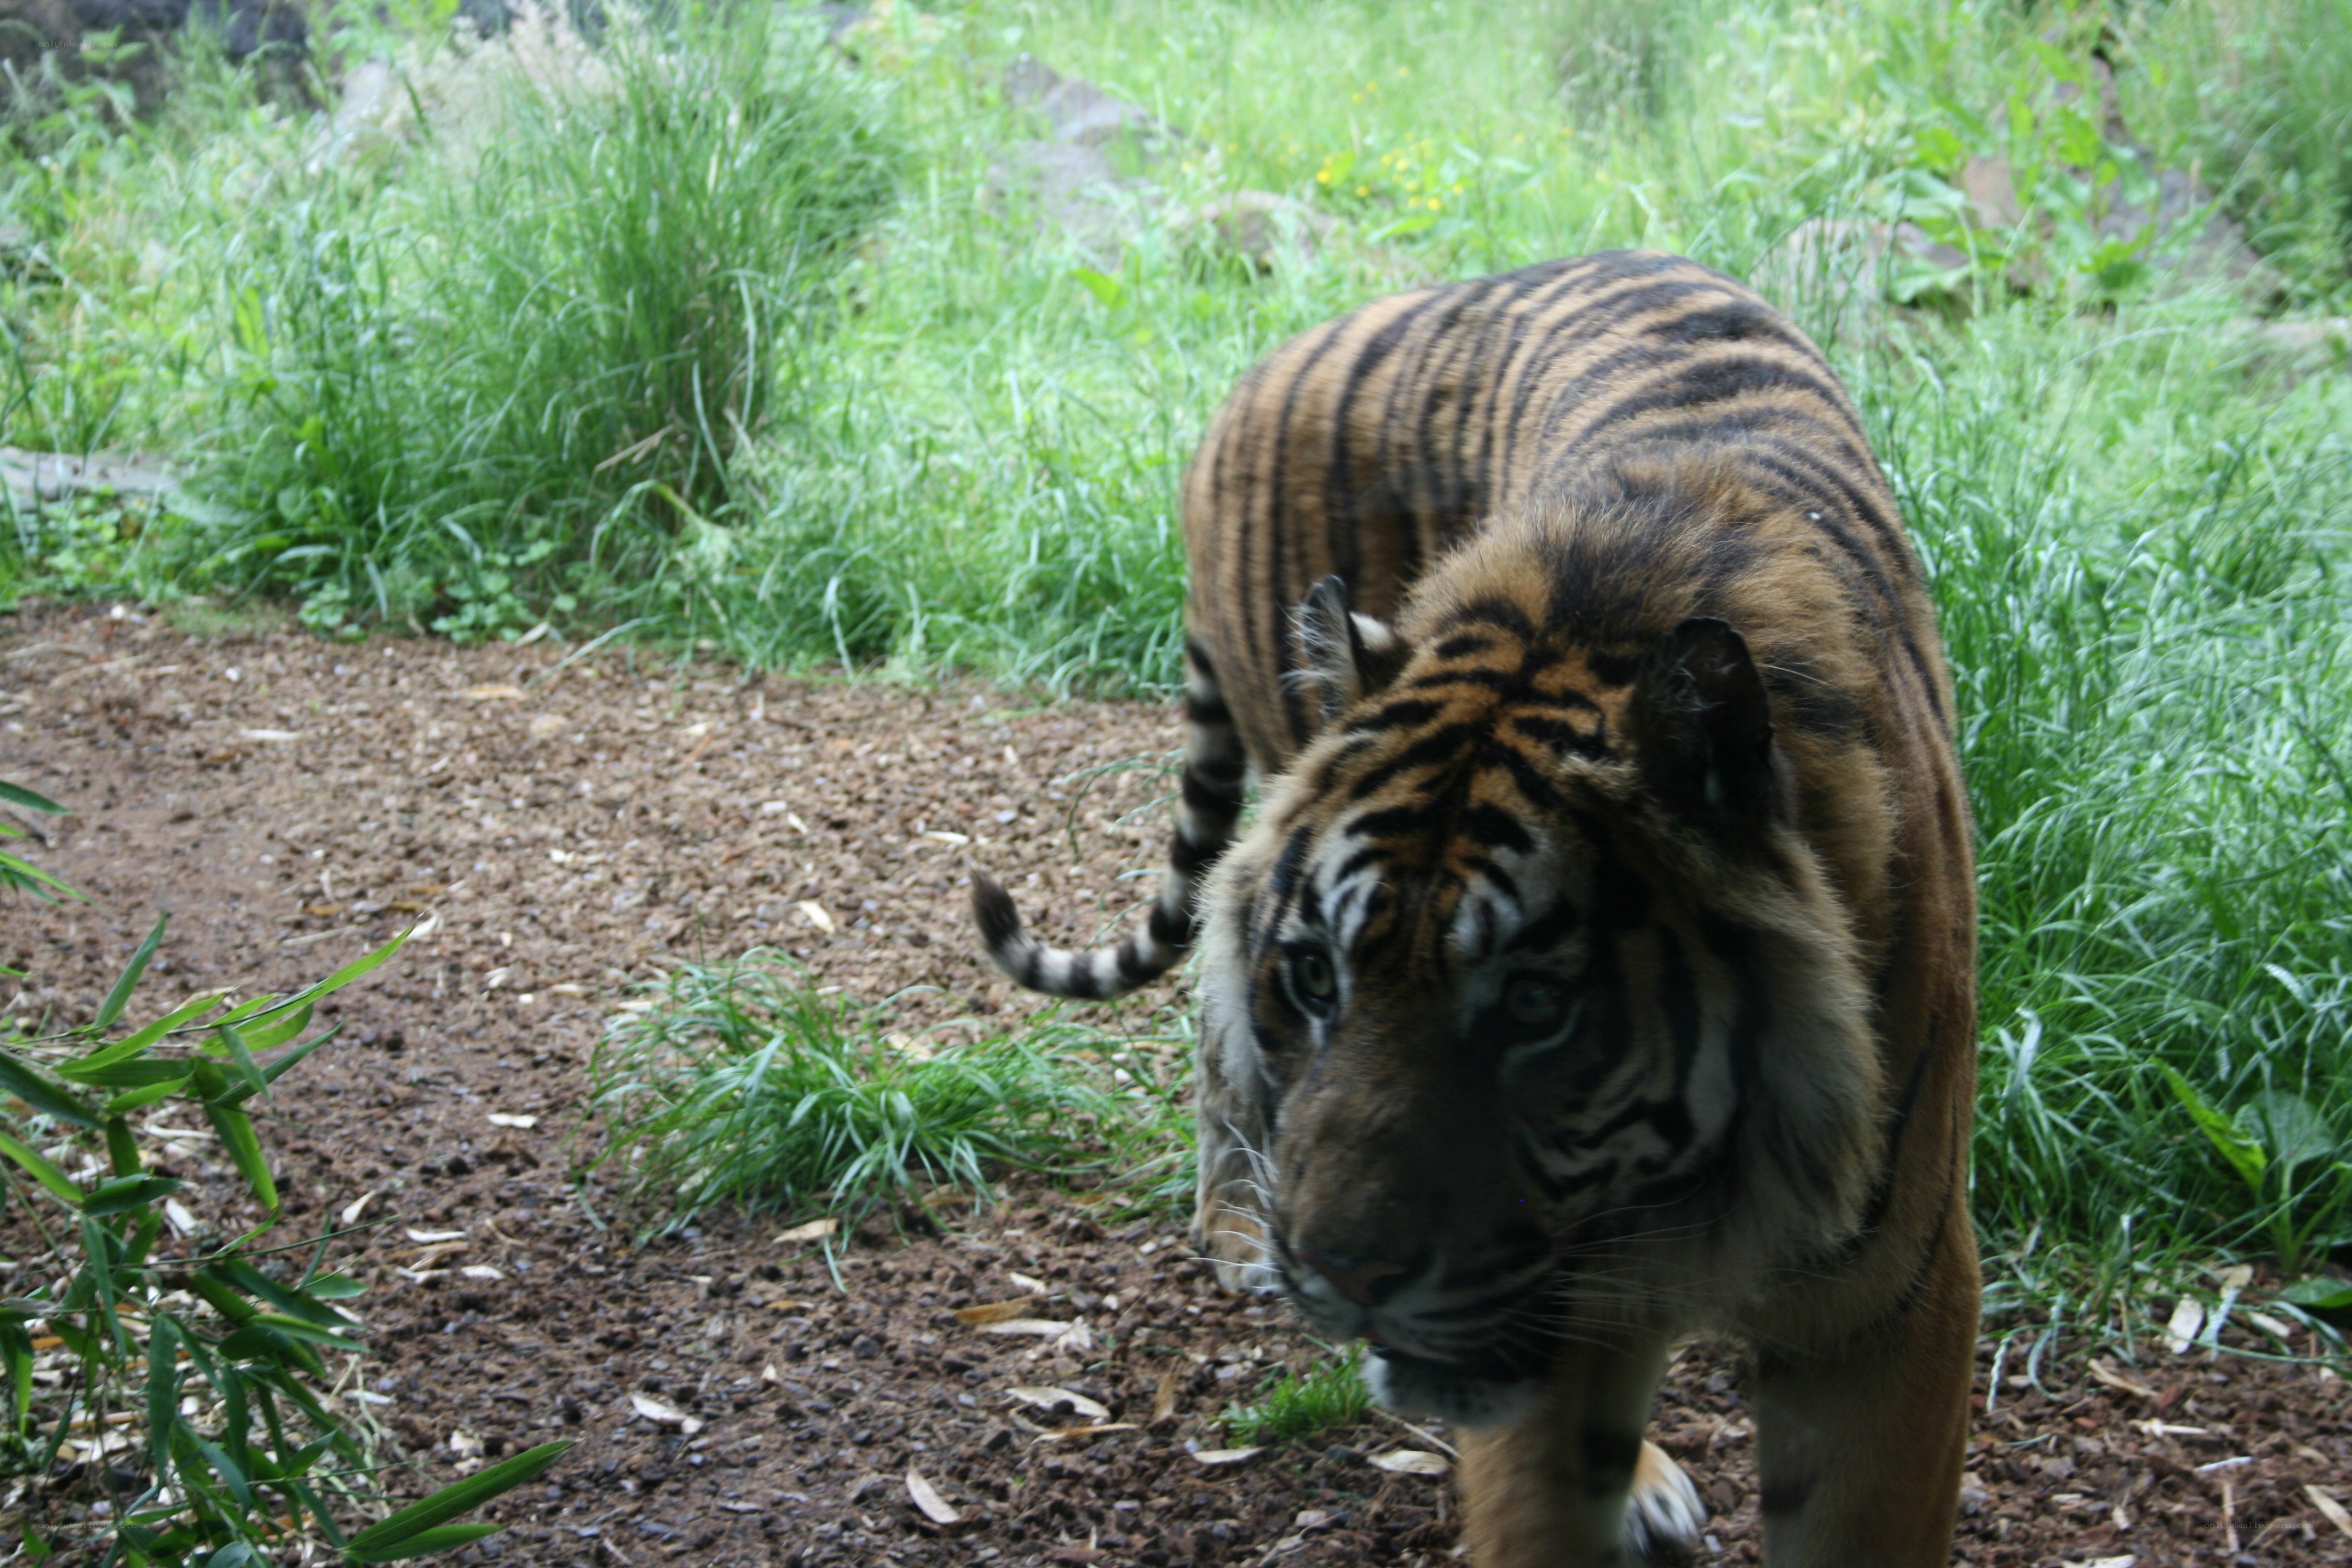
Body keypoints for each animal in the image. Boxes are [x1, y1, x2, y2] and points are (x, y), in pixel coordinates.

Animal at [971, 249, 1979, 1566]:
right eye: (1317, 977)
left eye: (1538, 1006)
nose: (1341, 1278)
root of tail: (1261, 366)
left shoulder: (1894, 1302)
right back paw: (1236, 1231)